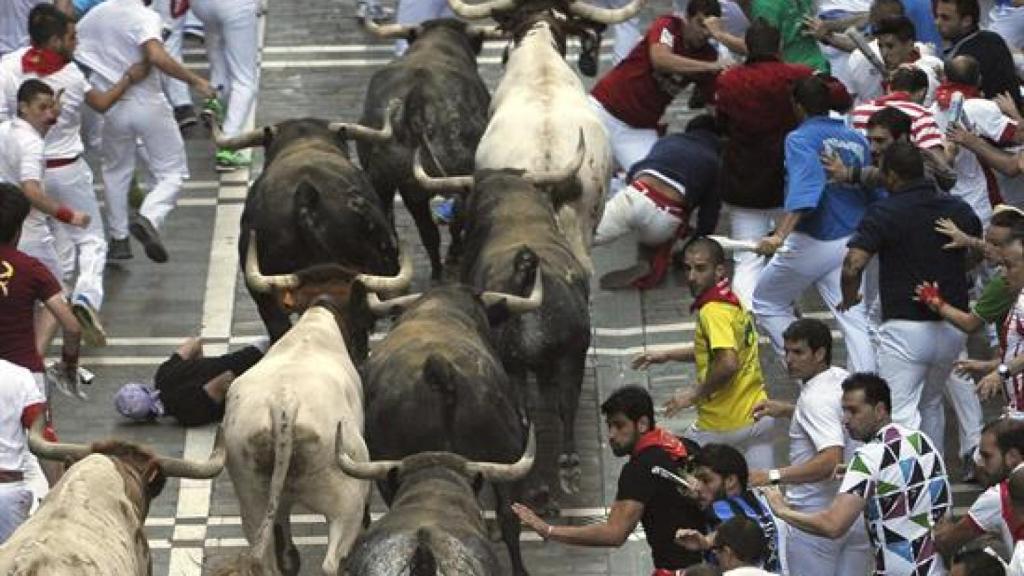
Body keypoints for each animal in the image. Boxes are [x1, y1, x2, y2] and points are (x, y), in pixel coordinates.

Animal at [223, 230, 411, 569]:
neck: (319, 320)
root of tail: (284, 405)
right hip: (345, 506)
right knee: (332, 561)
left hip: (256, 503)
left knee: (275, 559)